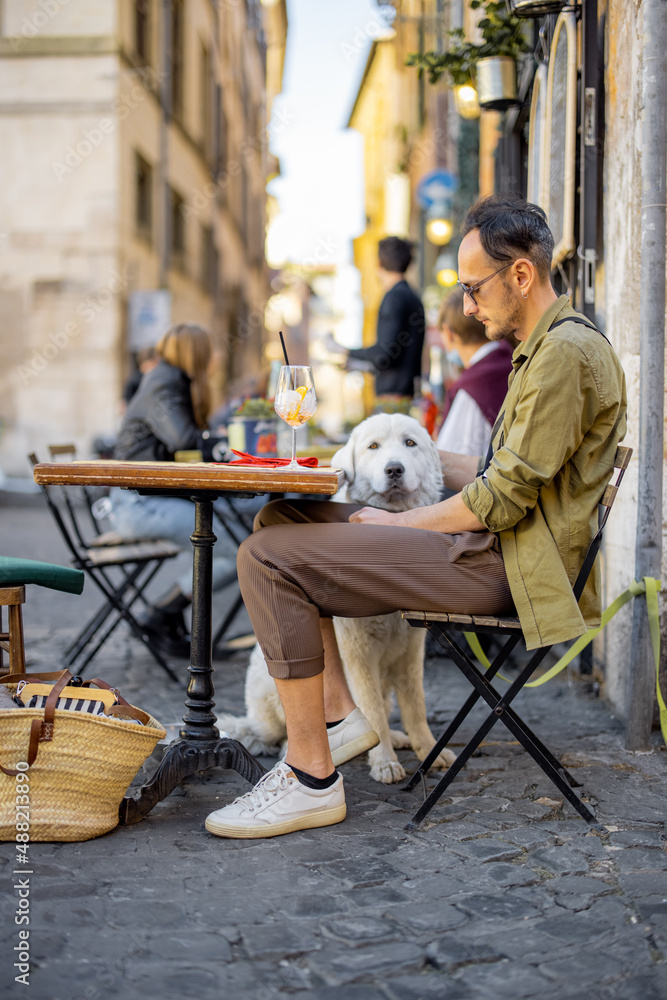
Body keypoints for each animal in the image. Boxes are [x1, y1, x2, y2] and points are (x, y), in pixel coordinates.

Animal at [219, 412, 460, 780]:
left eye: (410, 443)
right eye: (373, 447)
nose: (394, 470)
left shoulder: (410, 649)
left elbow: (415, 705)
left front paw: (427, 750)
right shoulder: (358, 652)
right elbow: (371, 709)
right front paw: (384, 760)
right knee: (291, 730)